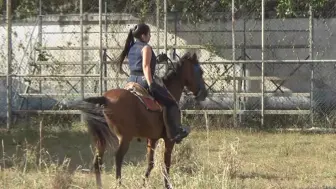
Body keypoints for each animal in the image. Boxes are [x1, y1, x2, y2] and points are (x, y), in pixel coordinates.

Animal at [69, 51, 207, 189]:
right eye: (200, 71)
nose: (204, 93)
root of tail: (105, 99)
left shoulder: (152, 139)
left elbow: (150, 163)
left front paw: (143, 183)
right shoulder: (169, 140)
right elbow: (166, 164)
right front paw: (167, 185)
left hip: (101, 139)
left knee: (97, 161)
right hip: (125, 137)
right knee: (118, 158)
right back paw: (119, 184)